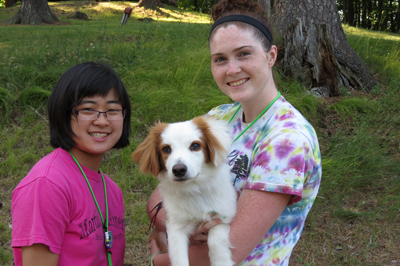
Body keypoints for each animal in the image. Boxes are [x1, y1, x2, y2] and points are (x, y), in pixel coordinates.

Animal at [131, 116, 238, 266]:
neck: (193, 189)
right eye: (166, 149)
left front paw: (221, 260)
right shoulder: (175, 227)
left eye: (195, 146)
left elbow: (215, 240)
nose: (179, 170)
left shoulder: (223, 216)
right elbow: (178, 258)